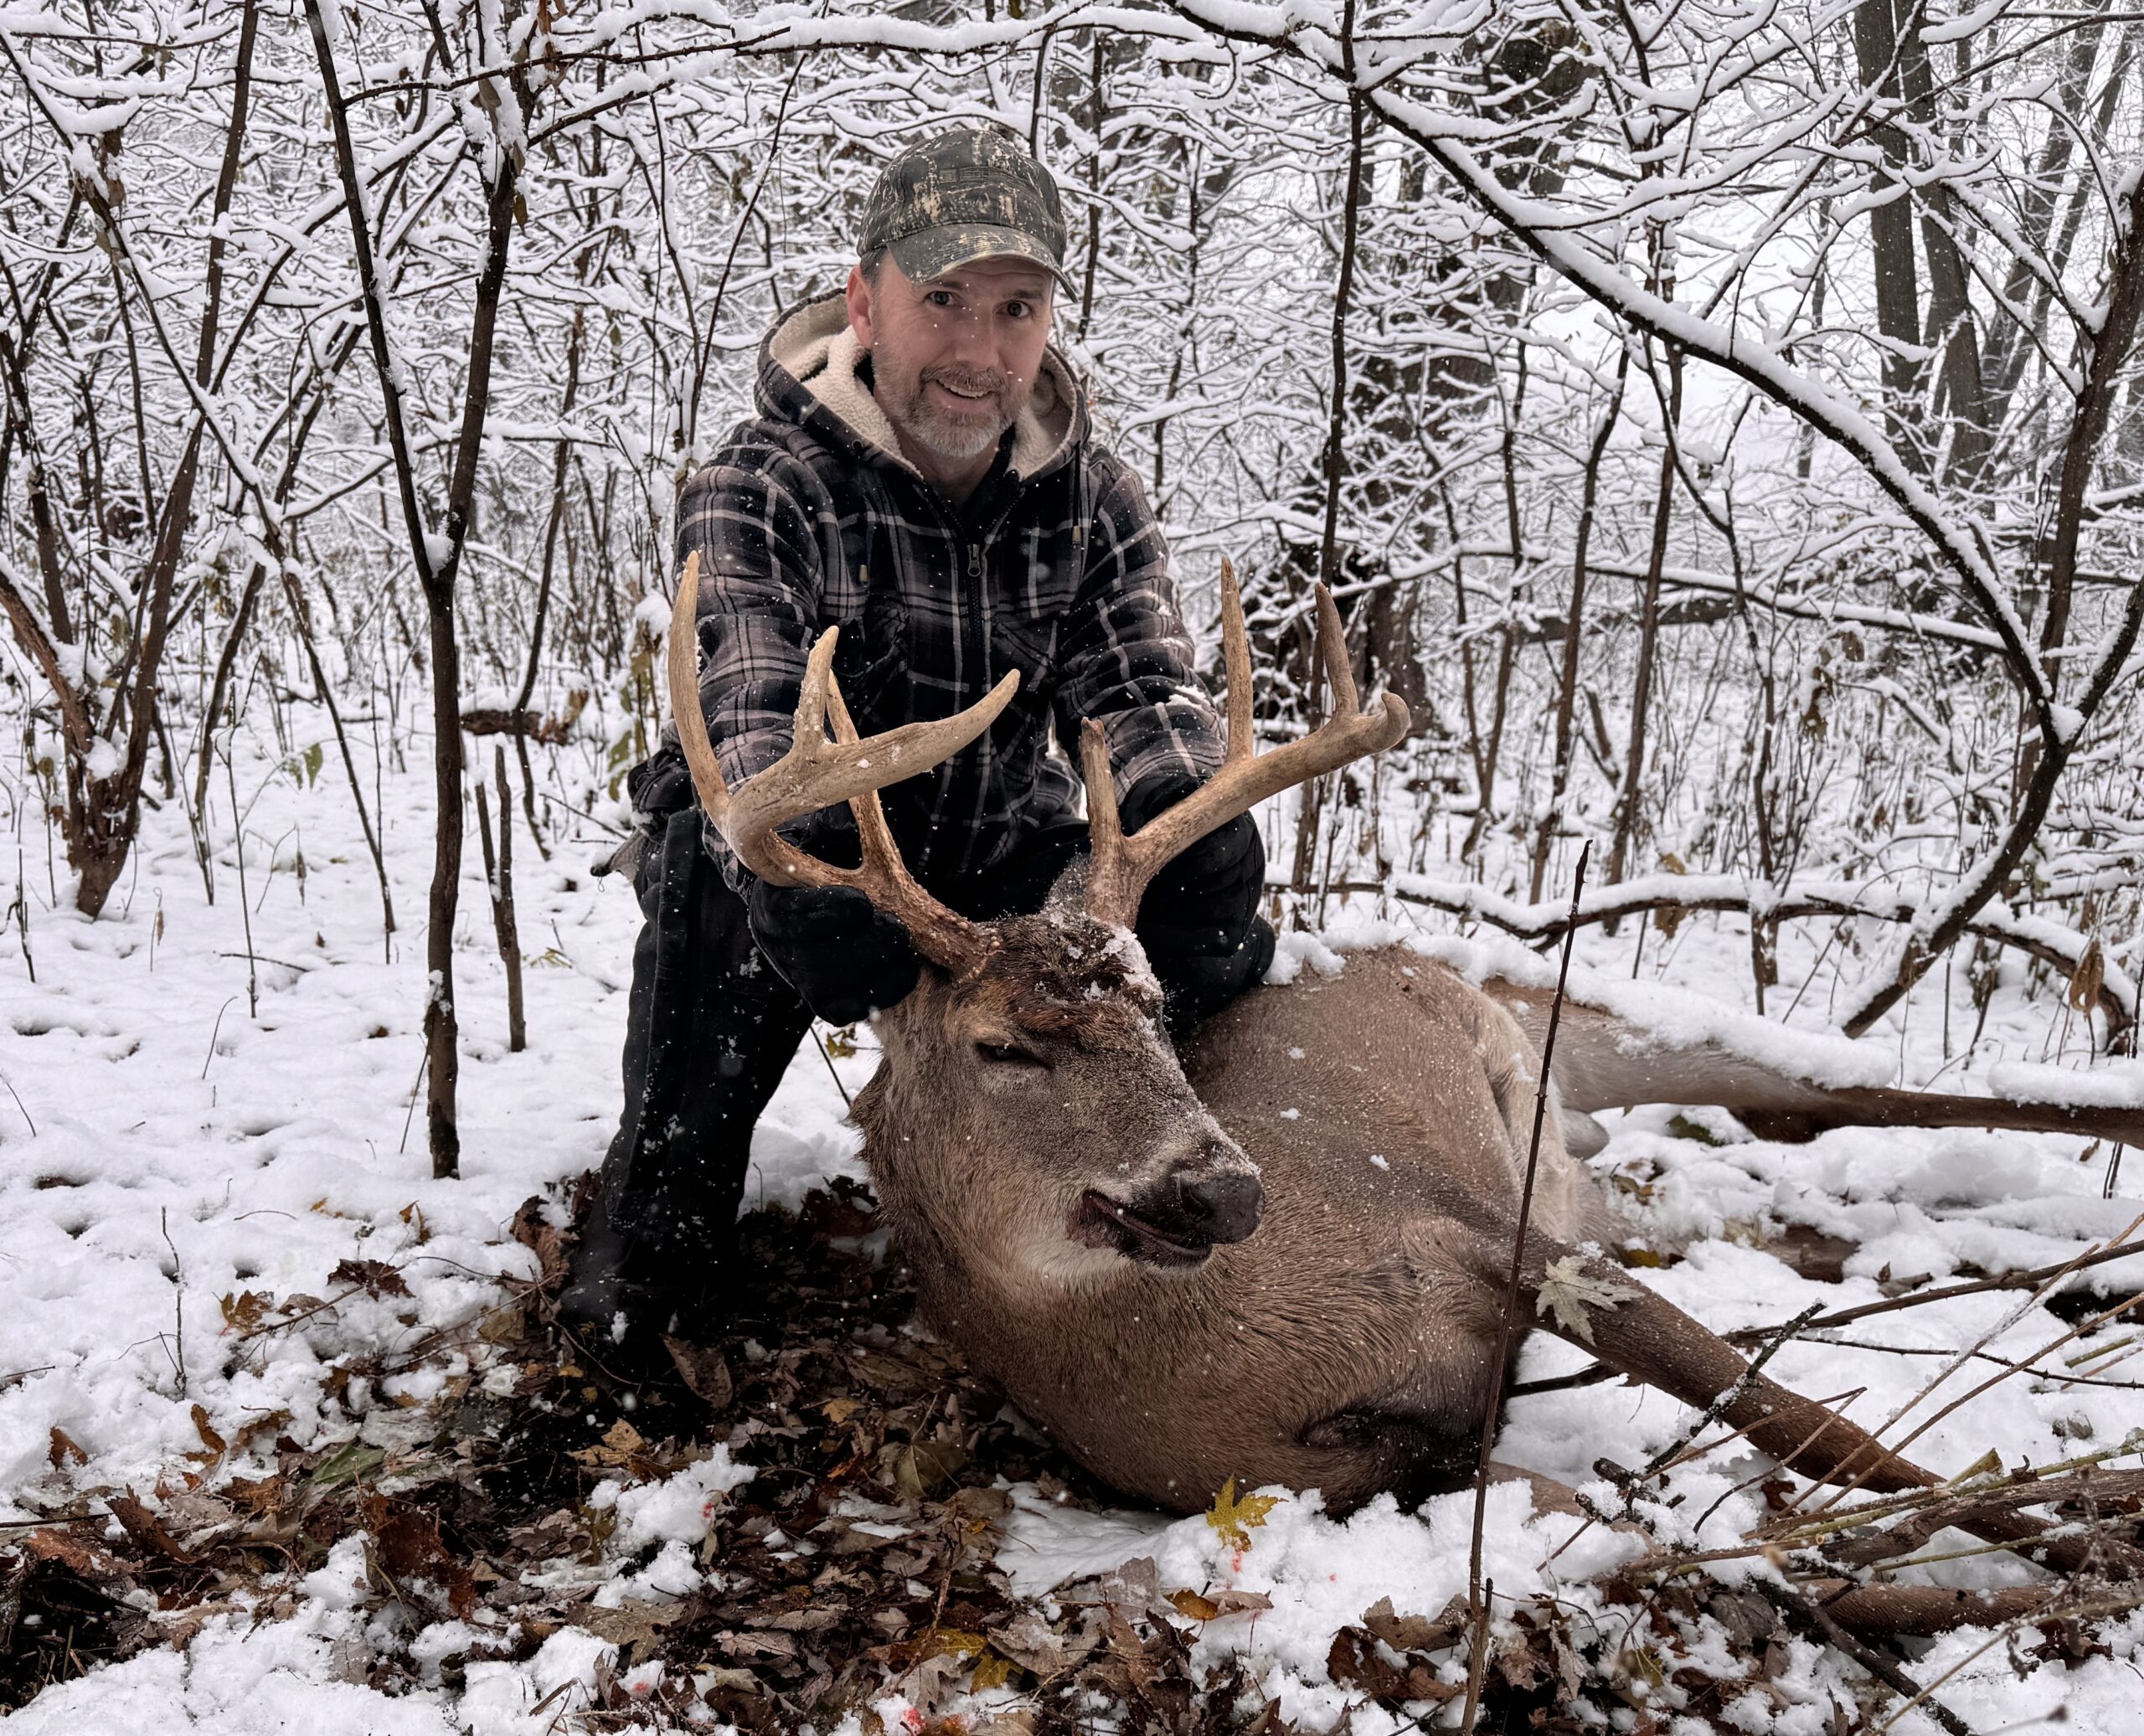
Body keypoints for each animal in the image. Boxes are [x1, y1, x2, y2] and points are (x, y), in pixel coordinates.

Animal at [663, 552, 2139, 1581]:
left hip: (1574, 1011)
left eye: (1157, 1009)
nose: (1225, 1187)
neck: (1207, 1349)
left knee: (1851, 1084)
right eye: (1002, 1044)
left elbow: (1808, 1421)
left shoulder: (1479, 1224)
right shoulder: (1300, 1456)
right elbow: (1456, 1450)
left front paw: (2070, 1537)